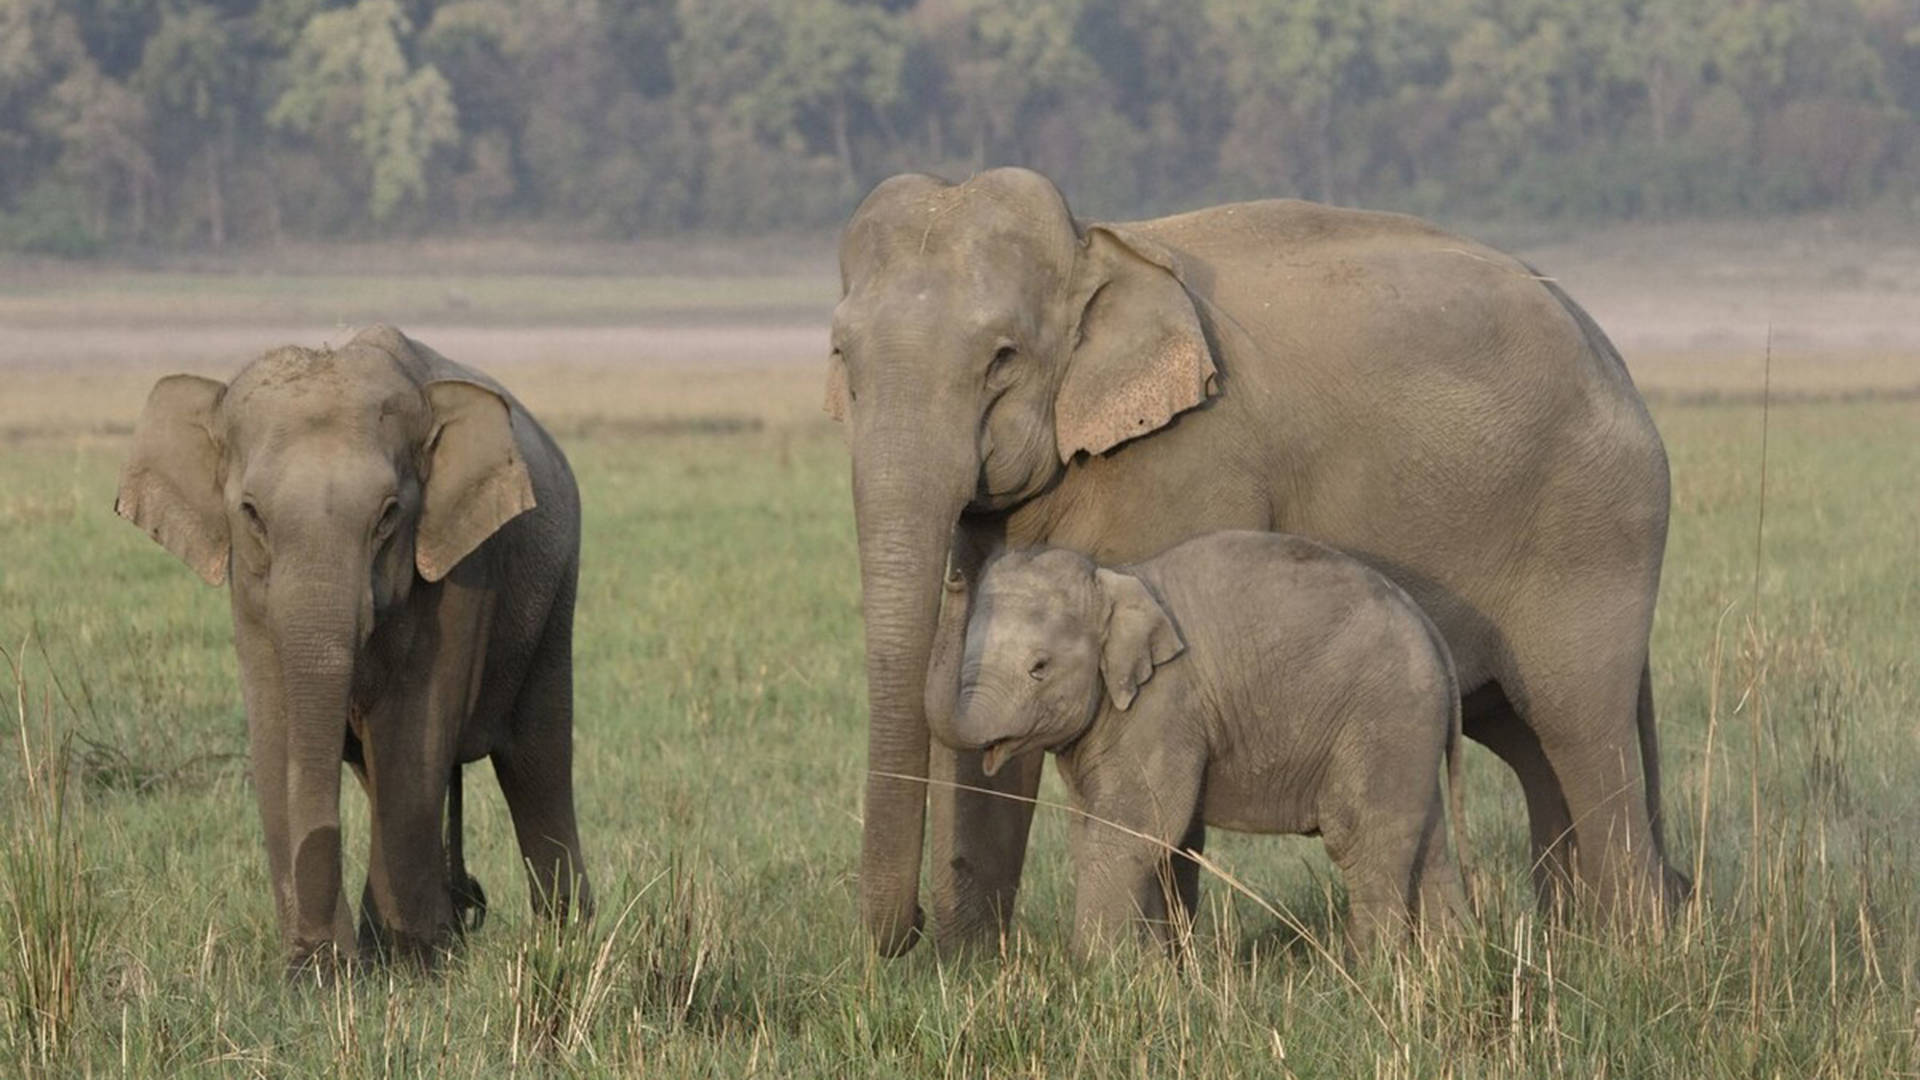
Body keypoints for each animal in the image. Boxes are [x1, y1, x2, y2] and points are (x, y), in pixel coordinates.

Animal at [116, 320, 587, 968]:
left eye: (388, 515)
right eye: (251, 514)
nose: (318, 956)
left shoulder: (466, 568)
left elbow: (413, 733)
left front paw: (407, 964)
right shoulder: (249, 596)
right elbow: (277, 733)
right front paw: (325, 968)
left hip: (554, 595)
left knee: (537, 762)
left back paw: (563, 941)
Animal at [936, 534, 1459, 953]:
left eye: (1039, 667)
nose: (954, 576)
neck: (1117, 578)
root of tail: (1430, 628)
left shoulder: (1164, 705)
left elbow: (1133, 829)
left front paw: (1093, 972)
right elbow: (1103, 834)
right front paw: (1150, 972)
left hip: (1384, 714)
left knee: (1362, 839)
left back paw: (1369, 970)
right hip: (1411, 730)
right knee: (1427, 844)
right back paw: (1441, 965)